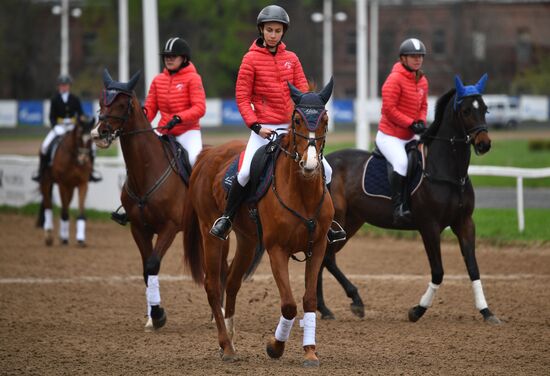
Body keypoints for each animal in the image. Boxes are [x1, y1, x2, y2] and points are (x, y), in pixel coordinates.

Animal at [36, 115, 95, 247]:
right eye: (78, 137)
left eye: (90, 140)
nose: (83, 159)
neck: (74, 159)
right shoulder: (62, 184)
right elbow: (64, 212)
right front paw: (62, 239)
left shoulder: (83, 184)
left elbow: (80, 212)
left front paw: (80, 239)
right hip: (46, 181)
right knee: (48, 205)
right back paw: (49, 235)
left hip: (71, 187)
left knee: (65, 205)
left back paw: (63, 236)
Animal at [90, 70, 203, 332]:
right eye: (101, 102)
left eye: (122, 104)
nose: (99, 133)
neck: (147, 170)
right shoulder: (139, 229)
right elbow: (145, 271)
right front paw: (153, 314)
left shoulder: (169, 227)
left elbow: (152, 265)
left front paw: (159, 314)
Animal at [183, 80, 334, 368]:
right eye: (297, 120)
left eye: (325, 120)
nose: (309, 164)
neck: (303, 193)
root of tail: (208, 154)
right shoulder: (277, 250)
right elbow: (288, 305)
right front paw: (275, 347)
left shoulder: (318, 247)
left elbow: (309, 299)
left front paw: (310, 351)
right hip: (211, 233)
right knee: (213, 286)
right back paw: (226, 346)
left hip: (248, 240)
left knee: (232, 281)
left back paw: (230, 338)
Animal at [316, 75, 502, 324]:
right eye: (465, 110)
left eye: (484, 109)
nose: (484, 143)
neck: (449, 172)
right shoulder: (429, 226)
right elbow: (438, 271)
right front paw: (417, 310)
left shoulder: (464, 223)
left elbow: (473, 267)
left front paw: (486, 311)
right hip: (339, 221)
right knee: (325, 258)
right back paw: (349, 302)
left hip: (351, 222)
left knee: (324, 259)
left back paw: (327, 308)